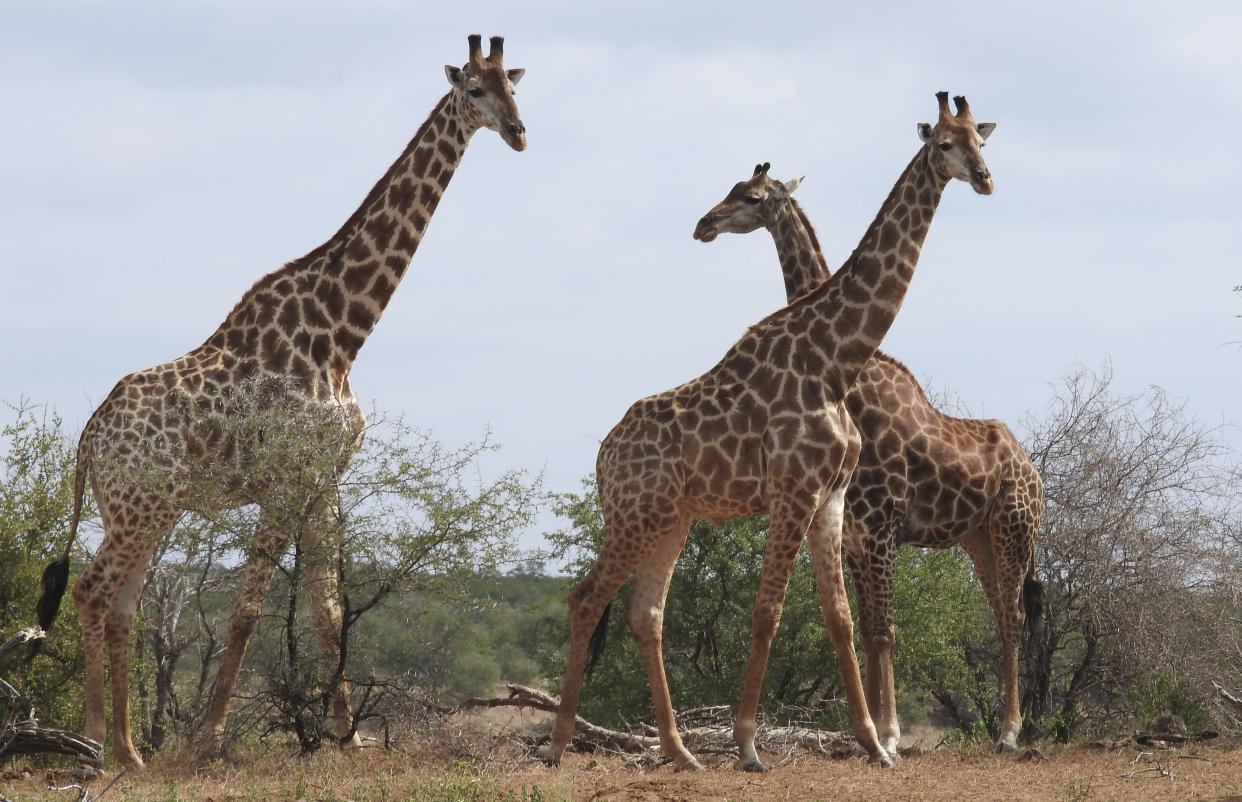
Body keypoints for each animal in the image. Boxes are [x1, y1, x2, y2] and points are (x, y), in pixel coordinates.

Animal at [32, 33, 529, 774]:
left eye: (515, 86)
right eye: (473, 89)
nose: (520, 132)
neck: (342, 334)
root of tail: (89, 437)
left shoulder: (325, 479)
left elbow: (328, 608)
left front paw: (349, 738)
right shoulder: (287, 479)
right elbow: (248, 609)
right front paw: (209, 740)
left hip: (148, 509)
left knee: (120, 606)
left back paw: (128, 749)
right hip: (138, 506)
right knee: (93, 593)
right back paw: (95, 743)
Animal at [548, 92, 993, 774]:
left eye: (981, 141)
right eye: (944, 143)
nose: (985, 179)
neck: (834, 361)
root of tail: (603, 455)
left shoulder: (831, 497)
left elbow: (840, 617)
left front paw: (874, 743)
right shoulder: (792, 491)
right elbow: (767, 613)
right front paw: (750, 744)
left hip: (671, 518)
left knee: (645, 613)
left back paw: (680, 751)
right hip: (634, 514)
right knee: (585, 598)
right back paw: (560, 742)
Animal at [695, 161, 1043, 754]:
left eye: (752, 196)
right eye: (732, 189)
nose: (704, 224)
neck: (846, 379)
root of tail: (1034, 469)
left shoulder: (881, 527)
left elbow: (884, 629)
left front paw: (890, 734)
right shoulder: (857, 530)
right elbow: (867, 627)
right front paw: (878, 731)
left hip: (1014, 531)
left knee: (1015, 616)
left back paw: (1009, 733)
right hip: (977, 537)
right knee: (1001, 611)